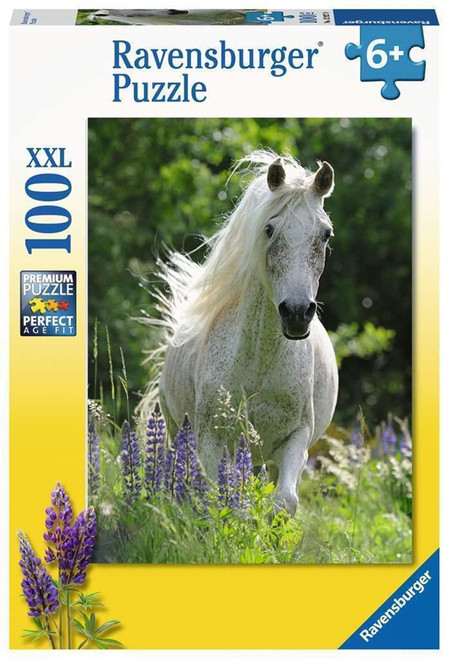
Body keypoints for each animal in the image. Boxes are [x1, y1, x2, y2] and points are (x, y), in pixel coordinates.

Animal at [144, 150, 338, 515]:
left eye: (325, 234)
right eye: (269, 228)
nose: (296, 314)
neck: (259, 364)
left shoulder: (296, 439)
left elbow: (284, 502)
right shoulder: (210, 439)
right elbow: (215, 499)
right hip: (178, 430)